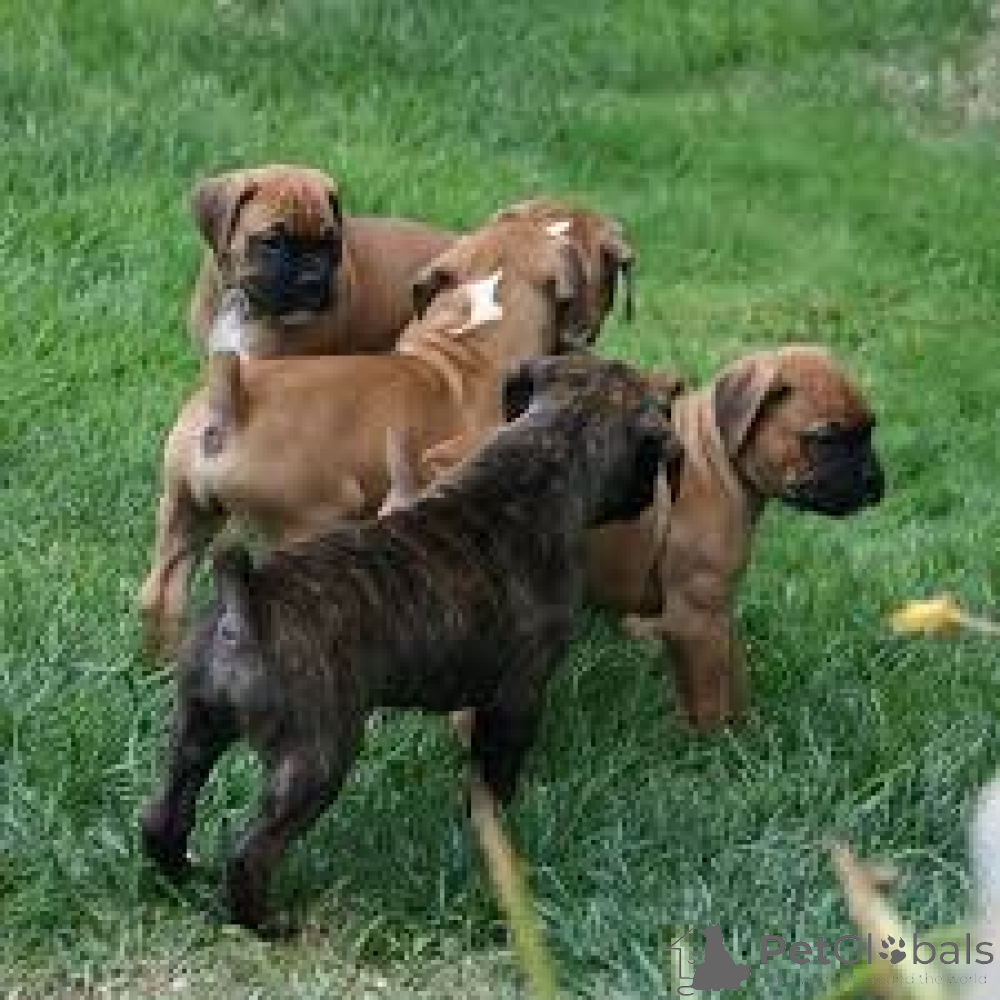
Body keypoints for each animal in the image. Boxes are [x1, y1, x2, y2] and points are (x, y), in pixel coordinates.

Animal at [140, 354, 685, 933]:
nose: (648, 501)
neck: (546, 452)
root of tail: (244, 607)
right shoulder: (519, 692)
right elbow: (497, 769)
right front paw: (500, 825)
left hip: (196, 728)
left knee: (164, 814)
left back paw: (180, 874)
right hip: (313, 759)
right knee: (251, 856)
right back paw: (272, 925)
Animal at [586, 345, 884, 730]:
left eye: (870, 430)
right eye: (825, 440)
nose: (874, 481)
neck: (716, 460)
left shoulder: (716, 612)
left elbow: (732, 675)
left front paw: (746, 730)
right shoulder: (697, 619)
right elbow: (711, 698)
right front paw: (717, 742)